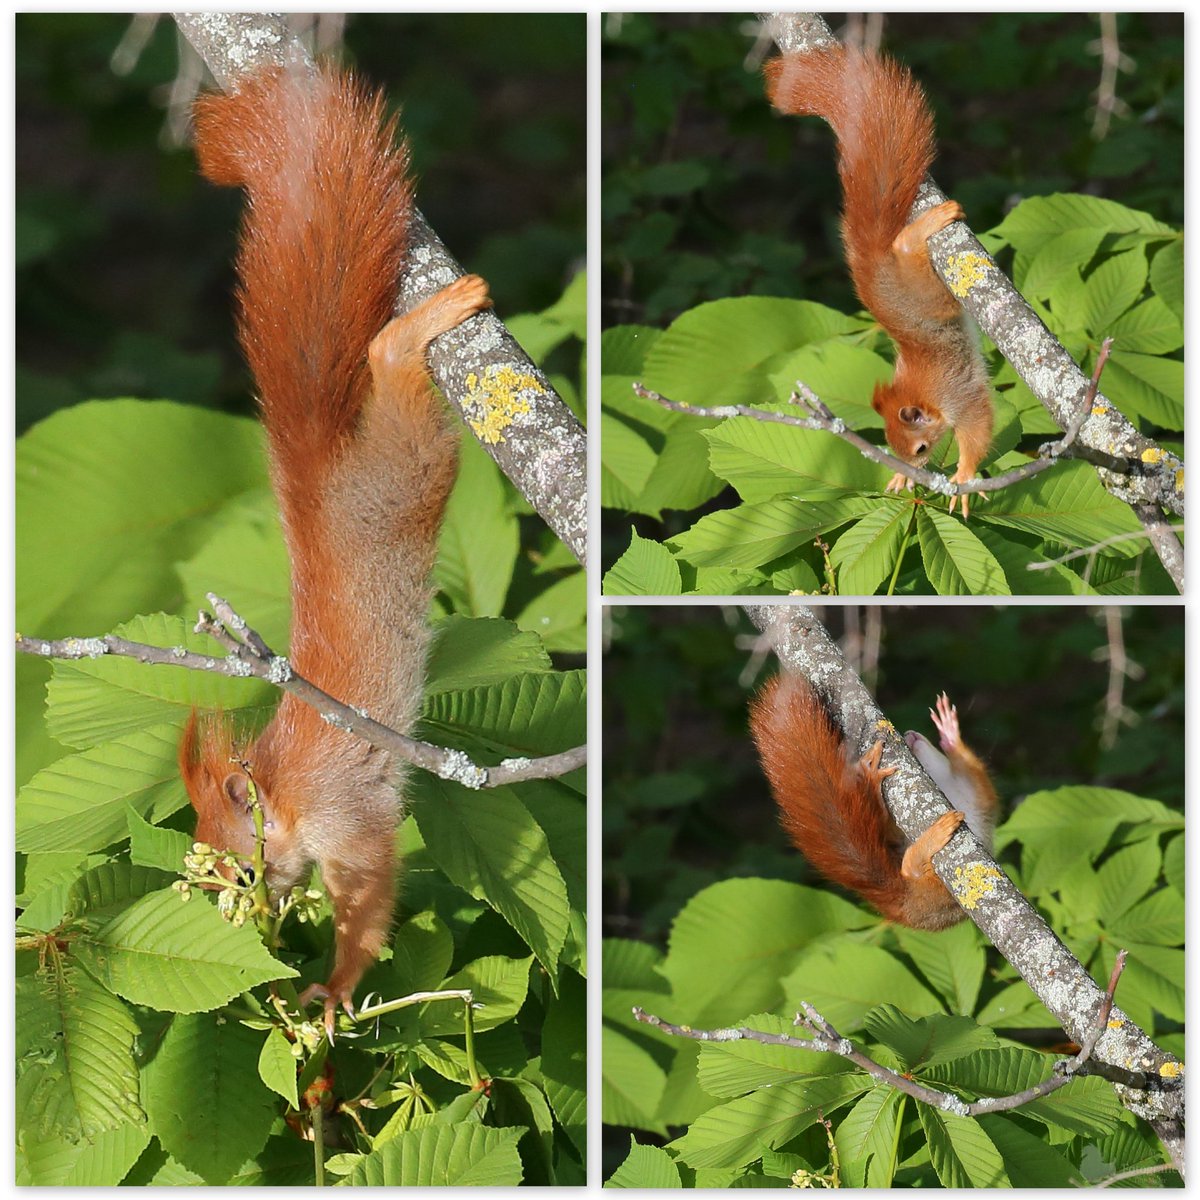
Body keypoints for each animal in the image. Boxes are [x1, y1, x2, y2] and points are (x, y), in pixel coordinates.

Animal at [179, 64, 491, 1035]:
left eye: (242, 865)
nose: (258, 909)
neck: (279, 790)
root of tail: (314, 478)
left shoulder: (346, 819)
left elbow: (369, 895)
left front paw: (331, 994)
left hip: (406, 469)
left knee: (389, 362)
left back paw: (428, 321)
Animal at [749, 675, 997, 929]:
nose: (909, 734)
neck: (943, 784)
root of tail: (906, 909)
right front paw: (948, 732)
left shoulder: (978, 792)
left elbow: (978, 776)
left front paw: (950, 735)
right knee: (906, 862)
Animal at [765, 44, 992, 517]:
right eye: (896, 448)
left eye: (920, 449)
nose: (915, 471)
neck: (920, 390)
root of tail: (870, 263)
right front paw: (901, 480)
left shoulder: (960, 395)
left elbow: (978, 429)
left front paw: (964, 475)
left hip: (929, 294)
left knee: (907, 246)